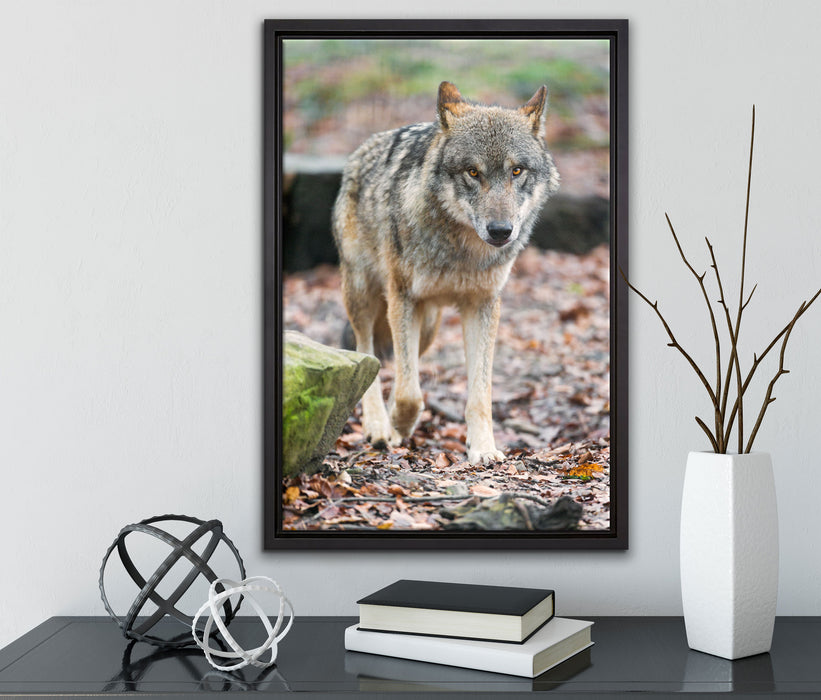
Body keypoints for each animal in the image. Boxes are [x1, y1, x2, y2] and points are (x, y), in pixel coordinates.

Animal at [332, 81, 559, 465]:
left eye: (516, 171)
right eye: (473, 172)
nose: (501, 231)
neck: (461, 252)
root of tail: (361, 150)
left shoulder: (482, 306)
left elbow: (479, 394)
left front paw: (483, 449)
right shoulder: (402, 298)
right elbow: (410, 394)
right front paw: (398, 425)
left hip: (428, 327)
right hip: (364, 296)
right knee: (367, 354)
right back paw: (378, 426)